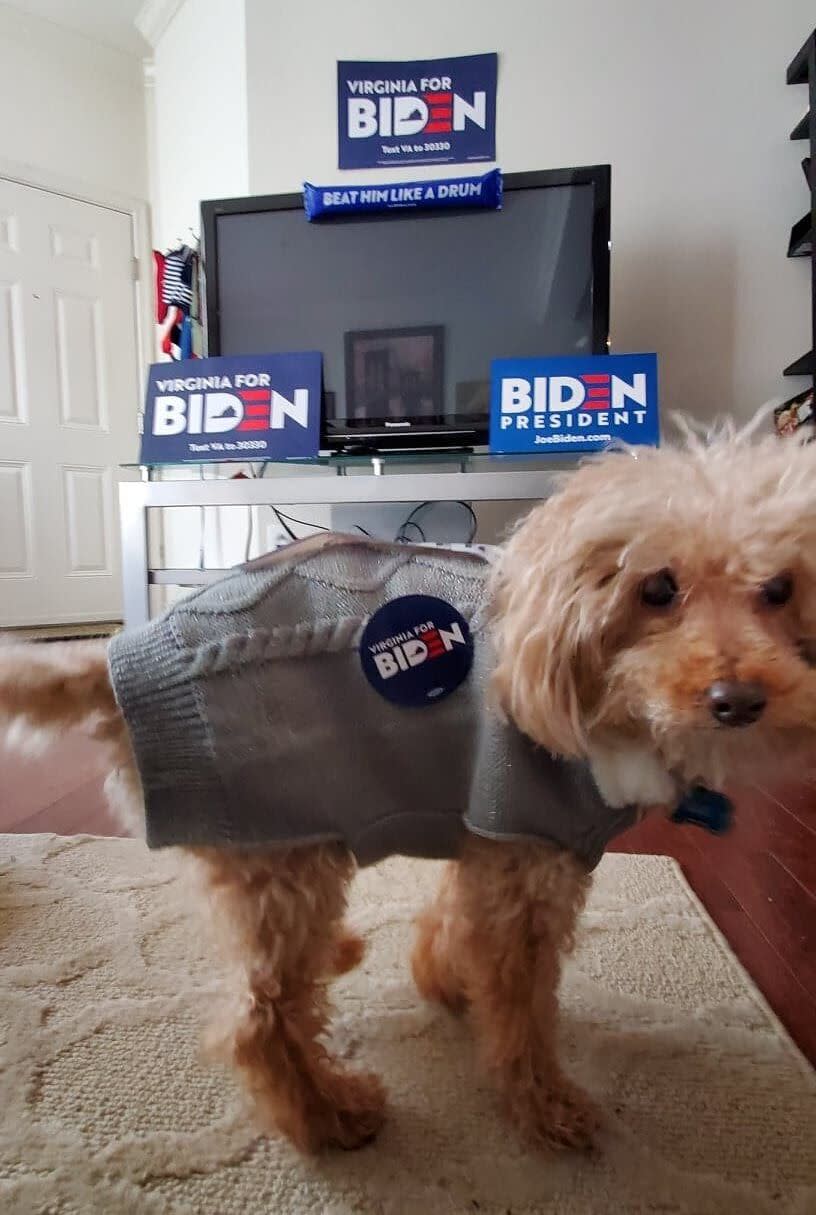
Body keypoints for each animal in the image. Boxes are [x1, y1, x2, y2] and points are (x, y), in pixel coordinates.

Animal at [1, 427, 816, 1156]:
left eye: (780, 589)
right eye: (658, 588)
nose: (738, 700)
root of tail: (121, 661)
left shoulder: (489, 839)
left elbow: (456, 923)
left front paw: (446, 981)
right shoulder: (528, 851)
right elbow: (523, 1005)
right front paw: (545, 1107)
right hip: (283, 856)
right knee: (258, 1022)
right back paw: (329, 1114)